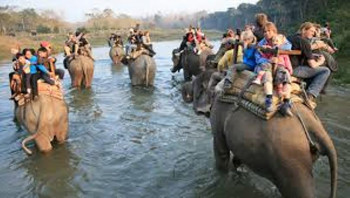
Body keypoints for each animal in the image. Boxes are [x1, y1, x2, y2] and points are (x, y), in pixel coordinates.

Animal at [209, 95, 338, 197]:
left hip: (292, 160)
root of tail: (313, 124)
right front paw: (239, 172)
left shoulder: (218, 113)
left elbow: (221, 153)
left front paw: (223, 177)